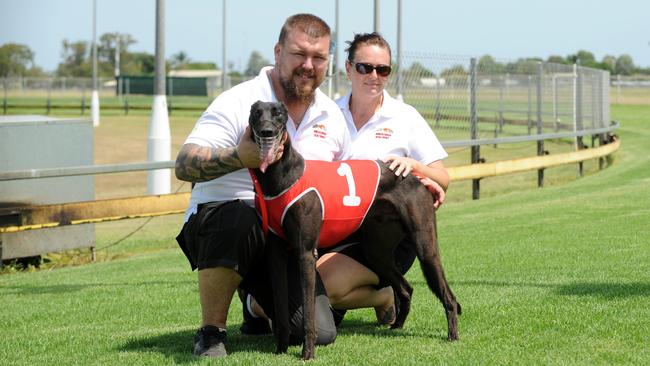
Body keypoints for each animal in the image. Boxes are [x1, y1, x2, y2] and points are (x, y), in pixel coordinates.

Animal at [248, 100, 460, 360]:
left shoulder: (305, 253)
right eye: (256, 113)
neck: (283, 175)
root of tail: (417, 179)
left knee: (448, 296)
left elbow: (309, 313)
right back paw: (396, 326)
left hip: (425, 247)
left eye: (278, 114)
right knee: (405, 288)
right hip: (377, 251)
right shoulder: (276, 256)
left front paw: (308, 353)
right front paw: (281, 349)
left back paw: (452, 335)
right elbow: (279, 306)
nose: (267, 132)